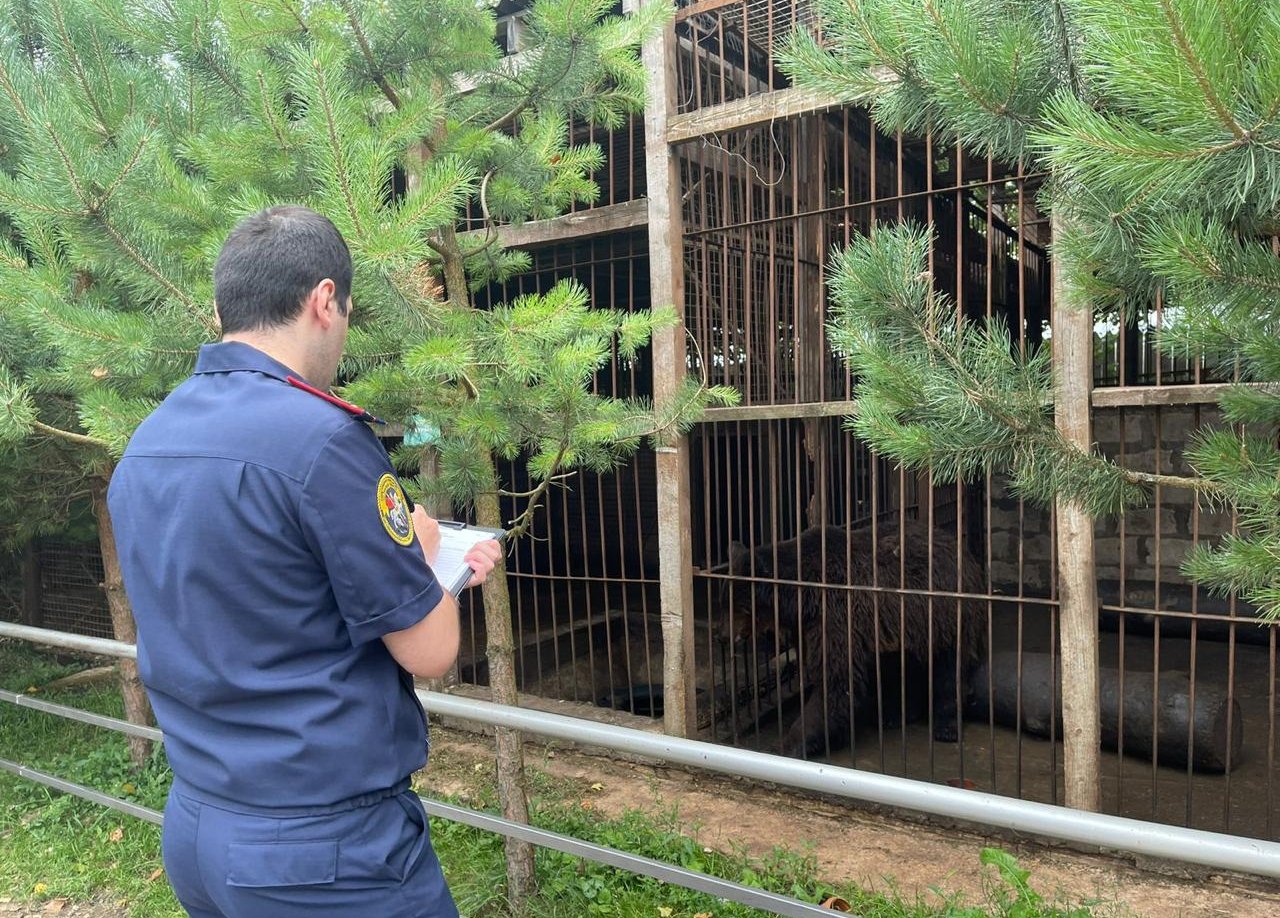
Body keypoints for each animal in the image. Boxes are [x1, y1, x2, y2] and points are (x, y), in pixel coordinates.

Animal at [721, 519, 988, 757]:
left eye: (737, 606)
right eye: (724, 602)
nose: (722, 636)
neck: (800, 597)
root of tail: (960, 547)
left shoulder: (836, 614)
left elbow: (836, 682)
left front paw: (789, 744)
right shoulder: (808, 626)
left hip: (944, 616)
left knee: (949, 668)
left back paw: (946, 726)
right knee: (906, 665)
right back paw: (896, 713)